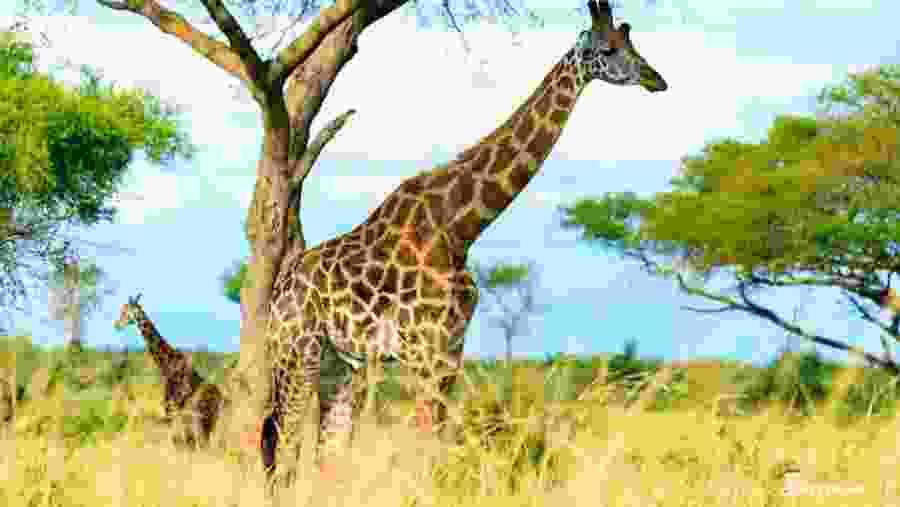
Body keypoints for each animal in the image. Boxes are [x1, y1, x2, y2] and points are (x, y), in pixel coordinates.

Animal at [113, 294, 223, 449]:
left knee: (201, 442)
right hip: (207, 418)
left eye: (125, 311)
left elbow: (176, 439)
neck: (167, 366)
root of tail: (219, 397)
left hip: (201, 417)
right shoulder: (175, 410)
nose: (116, 325)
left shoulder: (172, 407)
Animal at [261, 0, 667, 487]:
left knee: (324, 453)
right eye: (608, 49)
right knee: (281, 442)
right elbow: (424, 449)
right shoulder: (423, 352)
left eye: (633, 44)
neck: (461, 227)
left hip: (339, 364)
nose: (656, 79)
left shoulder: (450, 350)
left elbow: (435, 447)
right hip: (295, 350)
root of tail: (277, 295)